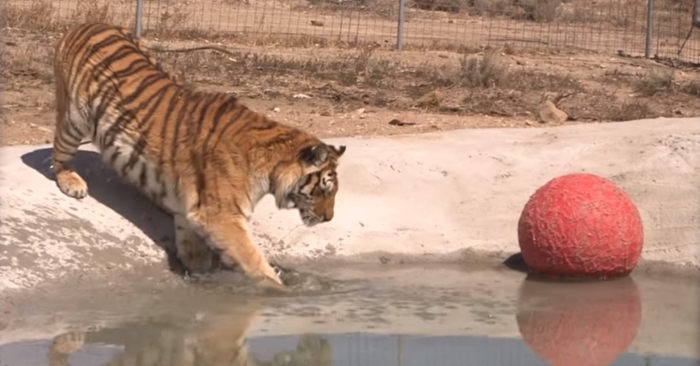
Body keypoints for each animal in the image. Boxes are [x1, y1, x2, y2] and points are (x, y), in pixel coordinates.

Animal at [50, 23, 348, 292]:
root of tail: (86, 24)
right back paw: (72, 183)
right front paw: (281, 289)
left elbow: (198, 256)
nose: (329, 219)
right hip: (75, 118)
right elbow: (254, 261)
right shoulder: (221, 217)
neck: (272, 164)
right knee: (57, 154)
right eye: (325, 189)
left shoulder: (192, 215)